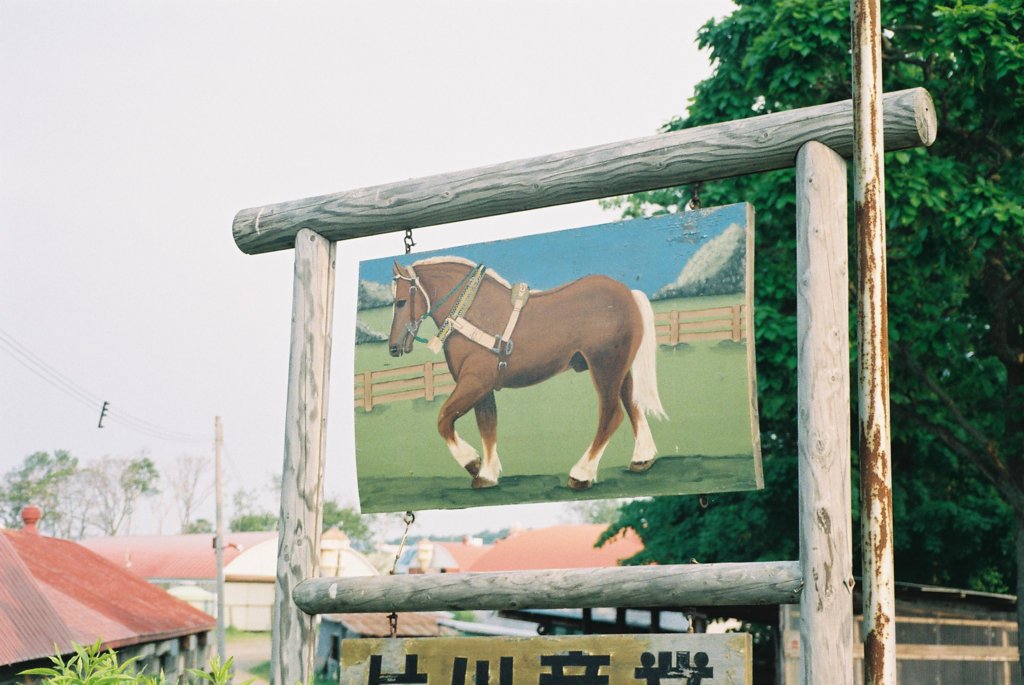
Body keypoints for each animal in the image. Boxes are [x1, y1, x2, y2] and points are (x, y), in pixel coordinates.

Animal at [385, 254, 663, 485]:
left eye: (401, 302)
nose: (394, 347)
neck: (473, 313)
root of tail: (628, 293)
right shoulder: (482, 387)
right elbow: (487, 426)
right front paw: (487, 474)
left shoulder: (475, 381)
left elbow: (444, 420)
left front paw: (473, 463)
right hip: (620, 369)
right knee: (632, 404)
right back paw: (642, 459)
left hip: (605, 367)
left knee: (611, 414)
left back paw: (581, 474)